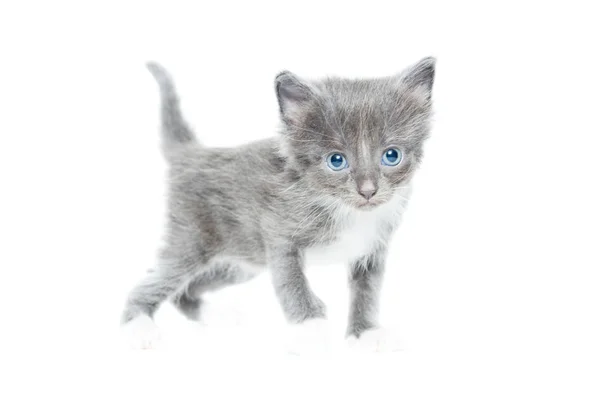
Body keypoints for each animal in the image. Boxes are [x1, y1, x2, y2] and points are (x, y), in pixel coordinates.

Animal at [120, 57, 436, 352]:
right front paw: (309, 329)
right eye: (336, 160)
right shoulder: (279, 234)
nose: (368, 190)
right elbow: (291, 282)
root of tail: (192, 153)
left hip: (241, 261)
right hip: (191, 240)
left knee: (185, 291)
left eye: (391, 155)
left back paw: (214, 314)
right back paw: (139, 327)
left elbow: (367, 291)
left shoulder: (373, 248)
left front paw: (366, 332)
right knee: (155, 282)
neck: (340, 207)